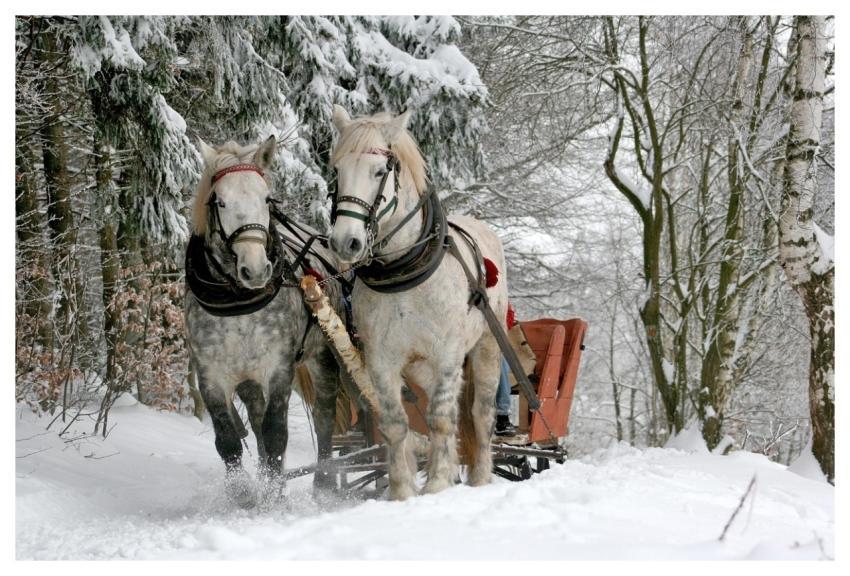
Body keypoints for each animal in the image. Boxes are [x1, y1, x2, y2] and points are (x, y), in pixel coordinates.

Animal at [184, 135, 342, 508]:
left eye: (267, 199)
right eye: (220, 201)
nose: (255, 270)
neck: (238, 303)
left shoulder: (279, 368)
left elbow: (276, 433)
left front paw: (273, 494)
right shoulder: (211, 374)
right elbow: (228, 438)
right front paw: (244, 493)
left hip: (322, 357)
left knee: (324, 416)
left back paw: (324, 483)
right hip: (248, 379)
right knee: (255, 421)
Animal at [327, 105, 508, 500]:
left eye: (380, 171)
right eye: (336, 171)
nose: (345, 242)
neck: (403, 270)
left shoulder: (448, 354)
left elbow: (440, 418)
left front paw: (438, 483)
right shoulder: (381, 359)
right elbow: (396, 423)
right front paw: (402, 491)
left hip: (486, 346)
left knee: (479, 413)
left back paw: (480, 477)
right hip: (420, 366)